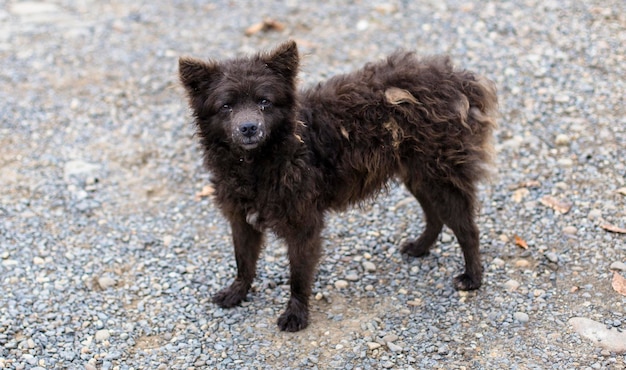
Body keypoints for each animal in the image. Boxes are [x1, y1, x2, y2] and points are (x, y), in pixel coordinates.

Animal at [178, 41, 494, 332]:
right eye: (226, 105)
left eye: (264, 101)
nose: (248, 128)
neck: (263, 160)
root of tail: (459, 80)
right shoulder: (241, 217)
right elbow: (243, 261)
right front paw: (237, 292)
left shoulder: (303, 223)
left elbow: (298, 276)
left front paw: (296, 314)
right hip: (419, 175)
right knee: (434, 216)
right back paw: (419, 247)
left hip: (439, 176)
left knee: (468, 230)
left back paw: (473, 277)